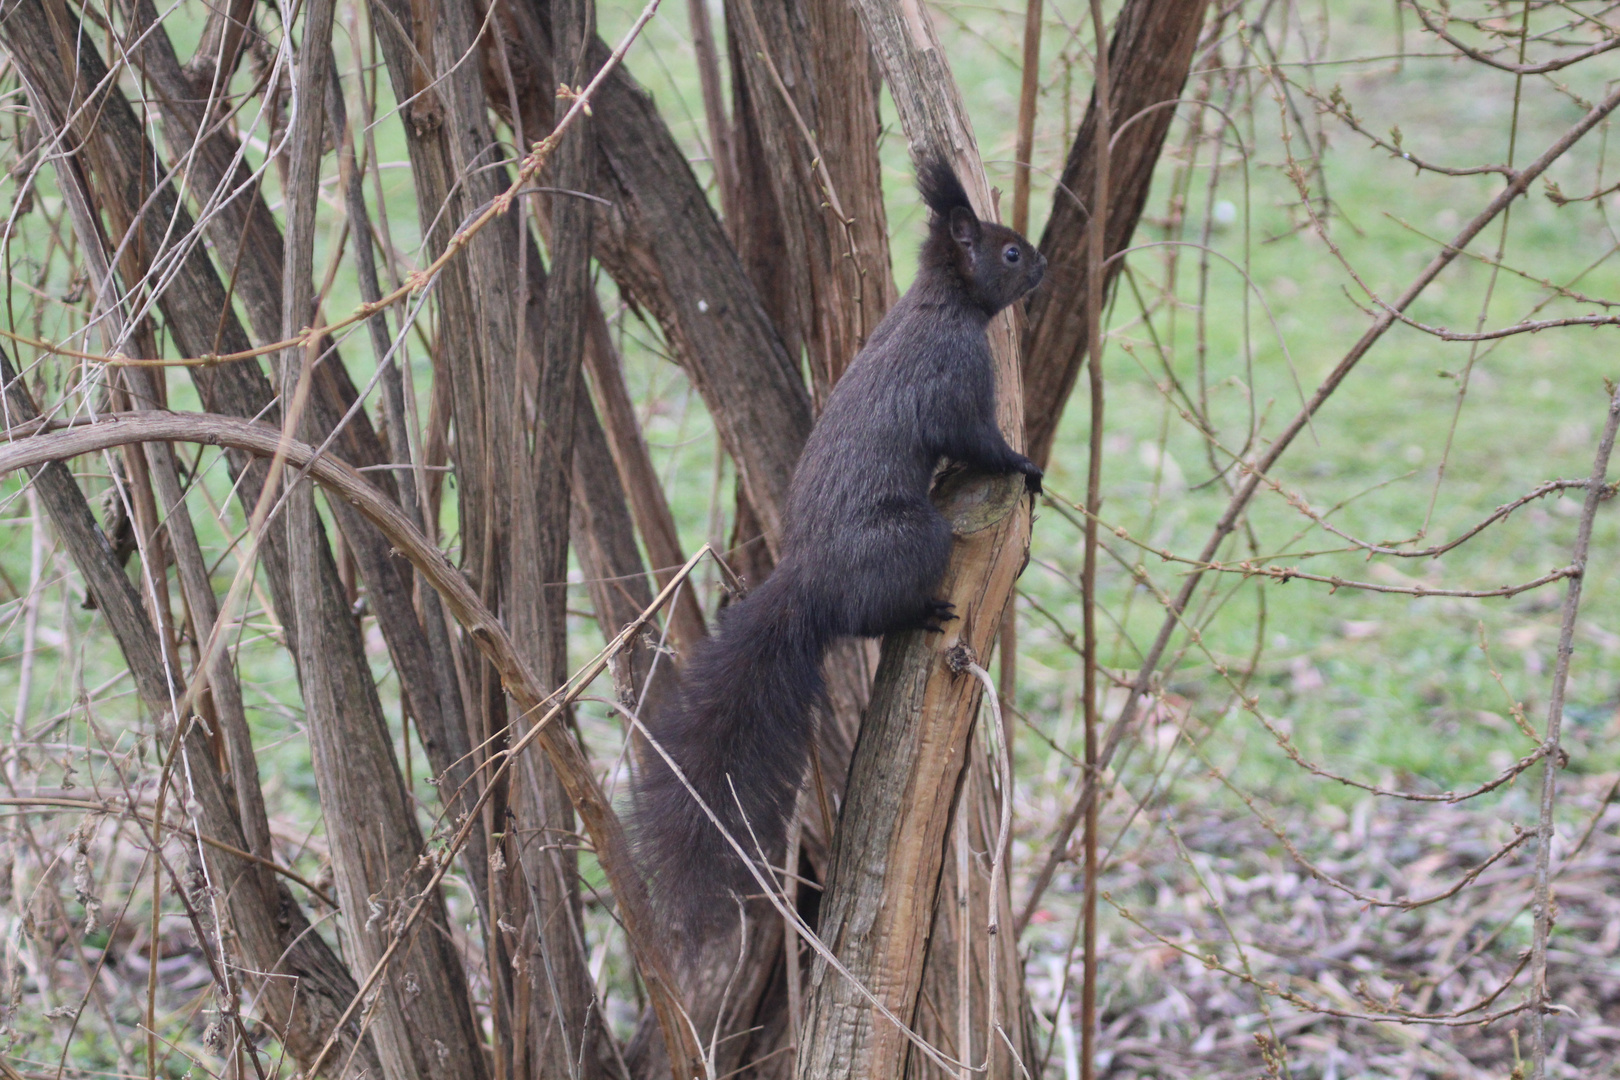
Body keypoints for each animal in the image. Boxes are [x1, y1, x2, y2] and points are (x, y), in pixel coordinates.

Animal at [625, 158, 1043, 939]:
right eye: (1007, 253)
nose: (1042, 264)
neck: (944, 306)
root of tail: (807, 582)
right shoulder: (954, 380)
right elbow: (979, 439)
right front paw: (1025, 467)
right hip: (913, 540)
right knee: (865, 621)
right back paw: (918, 613)